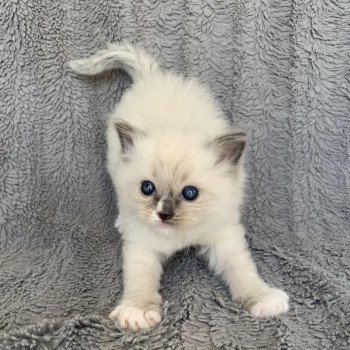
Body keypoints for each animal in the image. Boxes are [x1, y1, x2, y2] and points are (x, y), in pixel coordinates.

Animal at [69, 43, 288, 330]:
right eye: (147, 189)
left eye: (190, 193)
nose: (163, 214)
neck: (179, 237)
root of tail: (153, 78)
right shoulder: (142, 246)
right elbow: (140, 279)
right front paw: (137, 311)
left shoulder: (224, 238)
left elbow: (243, 271)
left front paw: (262, 299)